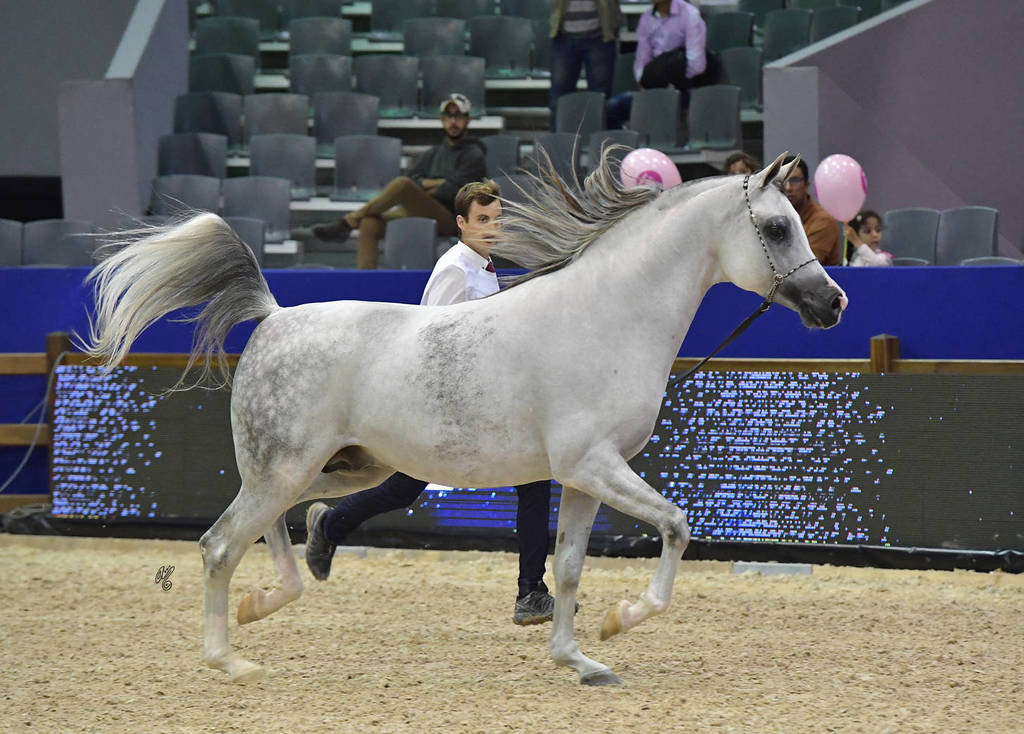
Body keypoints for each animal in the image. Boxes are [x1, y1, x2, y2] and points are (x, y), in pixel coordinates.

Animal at [82, 151, 847, 686]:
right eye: (777, 226)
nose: (833, 303)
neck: (608, 316)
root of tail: (271, 318)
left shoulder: (580, 477)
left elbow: (569, 566)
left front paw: (578, 659)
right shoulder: (594, 464)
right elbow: (676, 527)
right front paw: (618, 622)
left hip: (326, 470)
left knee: (283, 527)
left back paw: (265, 602)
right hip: (285, 469)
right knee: (219, 546)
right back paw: (229, 661)